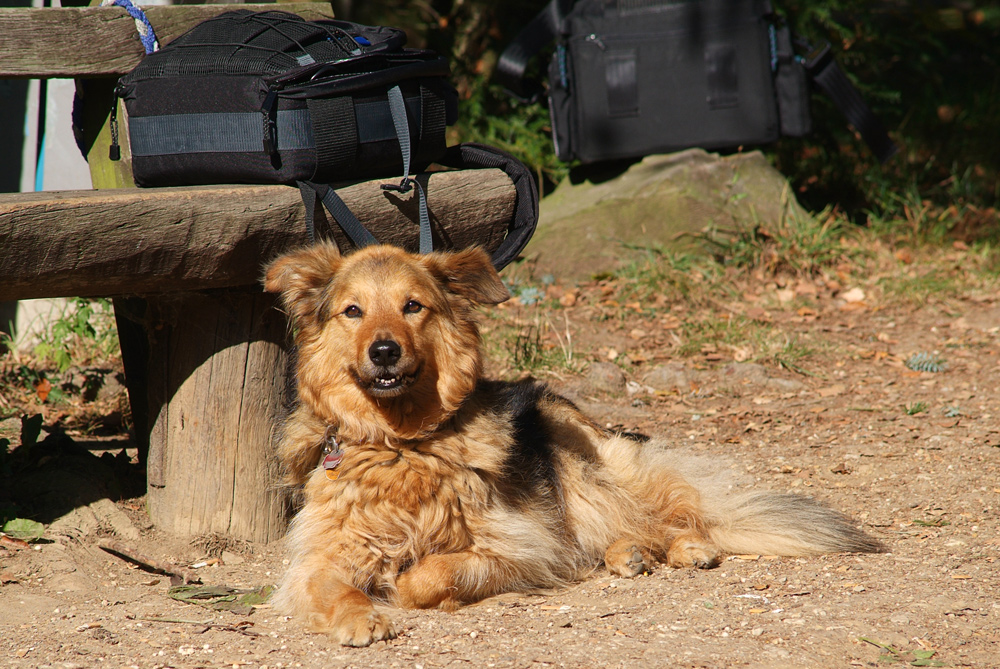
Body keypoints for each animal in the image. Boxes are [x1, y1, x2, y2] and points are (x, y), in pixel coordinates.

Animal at [260, 243, 884, 644]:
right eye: (353, 311)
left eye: (413, 305)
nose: (384, 350)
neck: (401, 443)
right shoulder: (321, 556)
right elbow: (328, 585)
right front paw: (359, 615)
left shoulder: (524, 544)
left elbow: (427, 575)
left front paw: (413, 587)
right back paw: (629, 555)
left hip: (580, 469)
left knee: (666, 518)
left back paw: (684, 547)